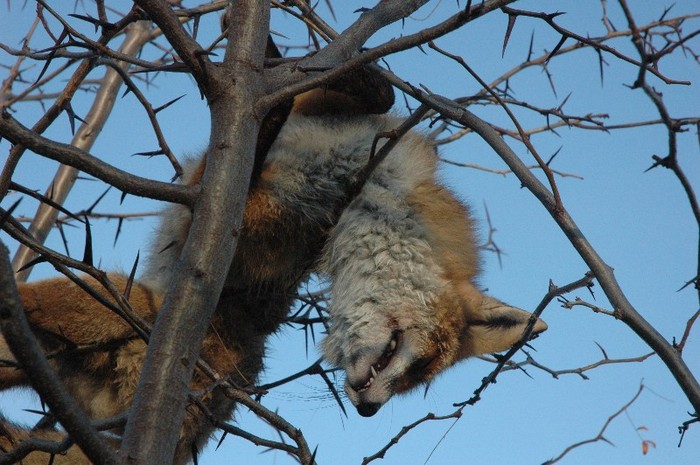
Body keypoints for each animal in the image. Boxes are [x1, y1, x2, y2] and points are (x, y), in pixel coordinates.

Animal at [0, 82, 548, 460]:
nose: (369, 410)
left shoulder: (276, 231)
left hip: (90, 313)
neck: (366, 186)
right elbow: (367, 89)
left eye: (416, 381)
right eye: (412, 360)